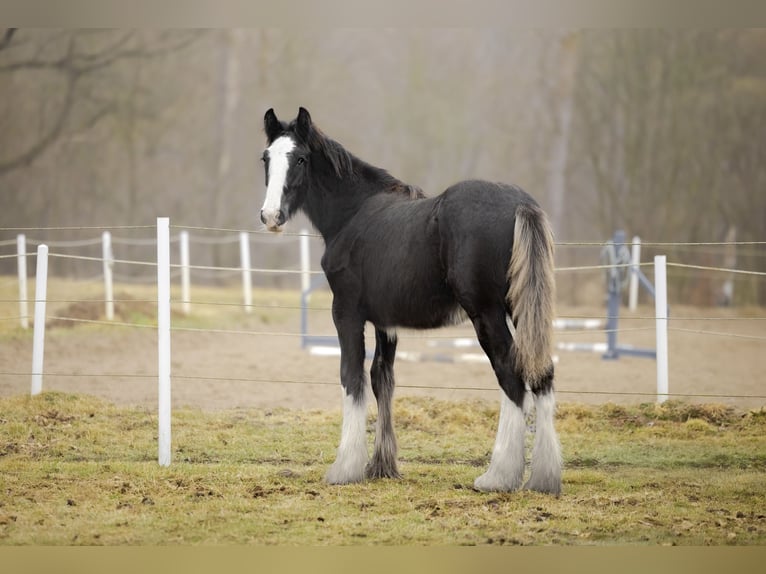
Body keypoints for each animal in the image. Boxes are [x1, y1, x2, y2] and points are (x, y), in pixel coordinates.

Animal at [259, 107, 562, 495]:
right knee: (542, 373)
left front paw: (345, 468)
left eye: (300, 158)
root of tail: (521, 205)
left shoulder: (346, 313)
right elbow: (381, 379)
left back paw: (498, 476)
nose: (271, 217)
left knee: (510, 374)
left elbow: (351, 378)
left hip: (487, 313)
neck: (354, 212)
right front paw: (381, 465)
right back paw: (544, 477)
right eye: (266, 158)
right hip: (523, 308)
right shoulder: (385, 322)